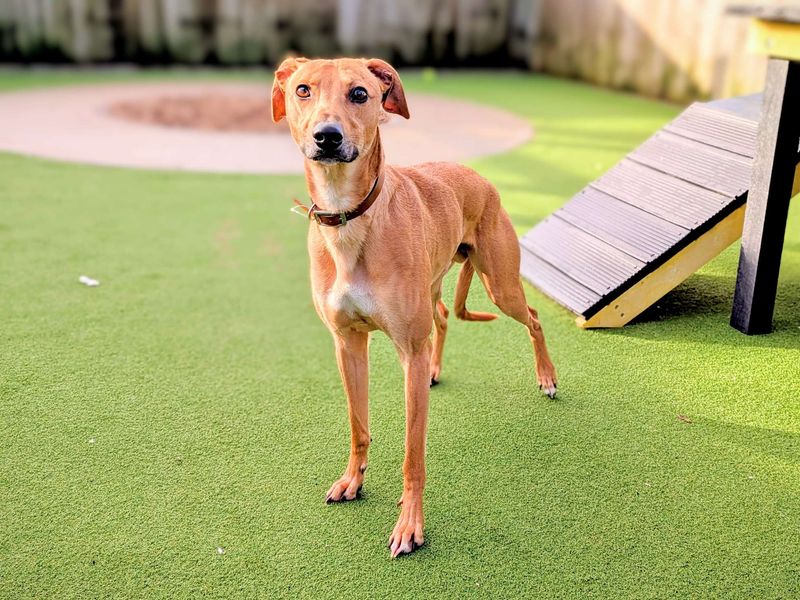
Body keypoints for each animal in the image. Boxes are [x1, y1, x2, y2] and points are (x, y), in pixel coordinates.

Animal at [272, 57, 560, 556]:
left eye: (360, 94)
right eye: (302, 90)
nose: (327, 137)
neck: (350, 220)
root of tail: (478, 175)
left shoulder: (408, 347)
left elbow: (413, 456)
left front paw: (410, 525)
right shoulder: (348, 344)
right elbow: (358, 425)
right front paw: (353, 481)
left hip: (501, 284)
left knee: (535, 318)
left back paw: (546, 377)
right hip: (435, 288)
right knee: (443, 318)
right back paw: (436, 370)